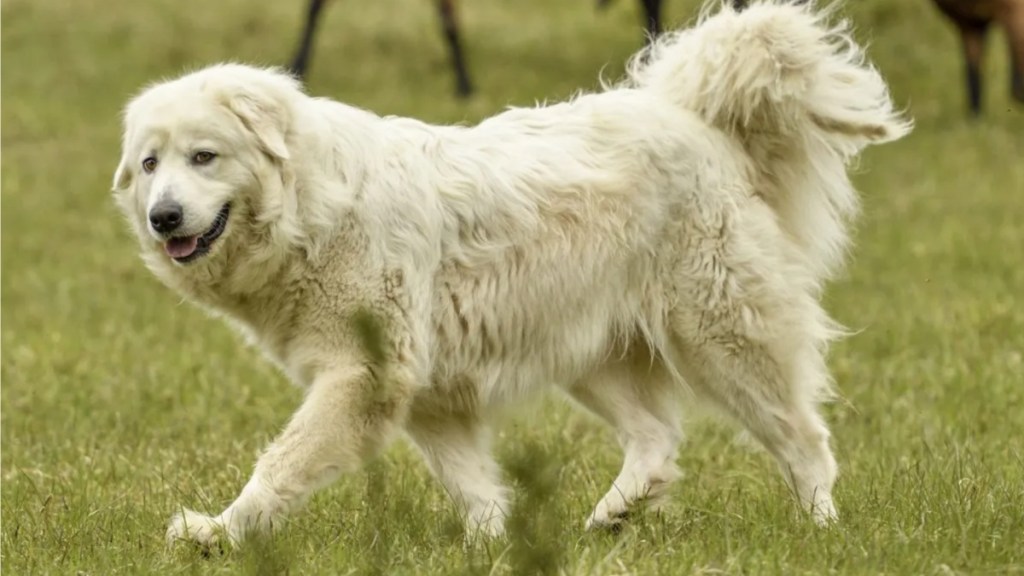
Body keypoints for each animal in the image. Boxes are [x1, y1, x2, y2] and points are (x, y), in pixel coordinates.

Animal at [114, 1, 913, 545]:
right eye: (150, 164)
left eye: (204, 157)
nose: (162, 217)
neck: (311, 204)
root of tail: (693, 117)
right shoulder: (424, 395)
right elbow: (473, 486)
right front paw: (495, 545)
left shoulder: (364, 377)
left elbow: (278, 466)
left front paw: (218, 534)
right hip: (590, 349)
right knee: (656, 439)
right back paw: (613, 515)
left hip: (721, 338)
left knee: (803, 438)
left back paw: (820, 527)